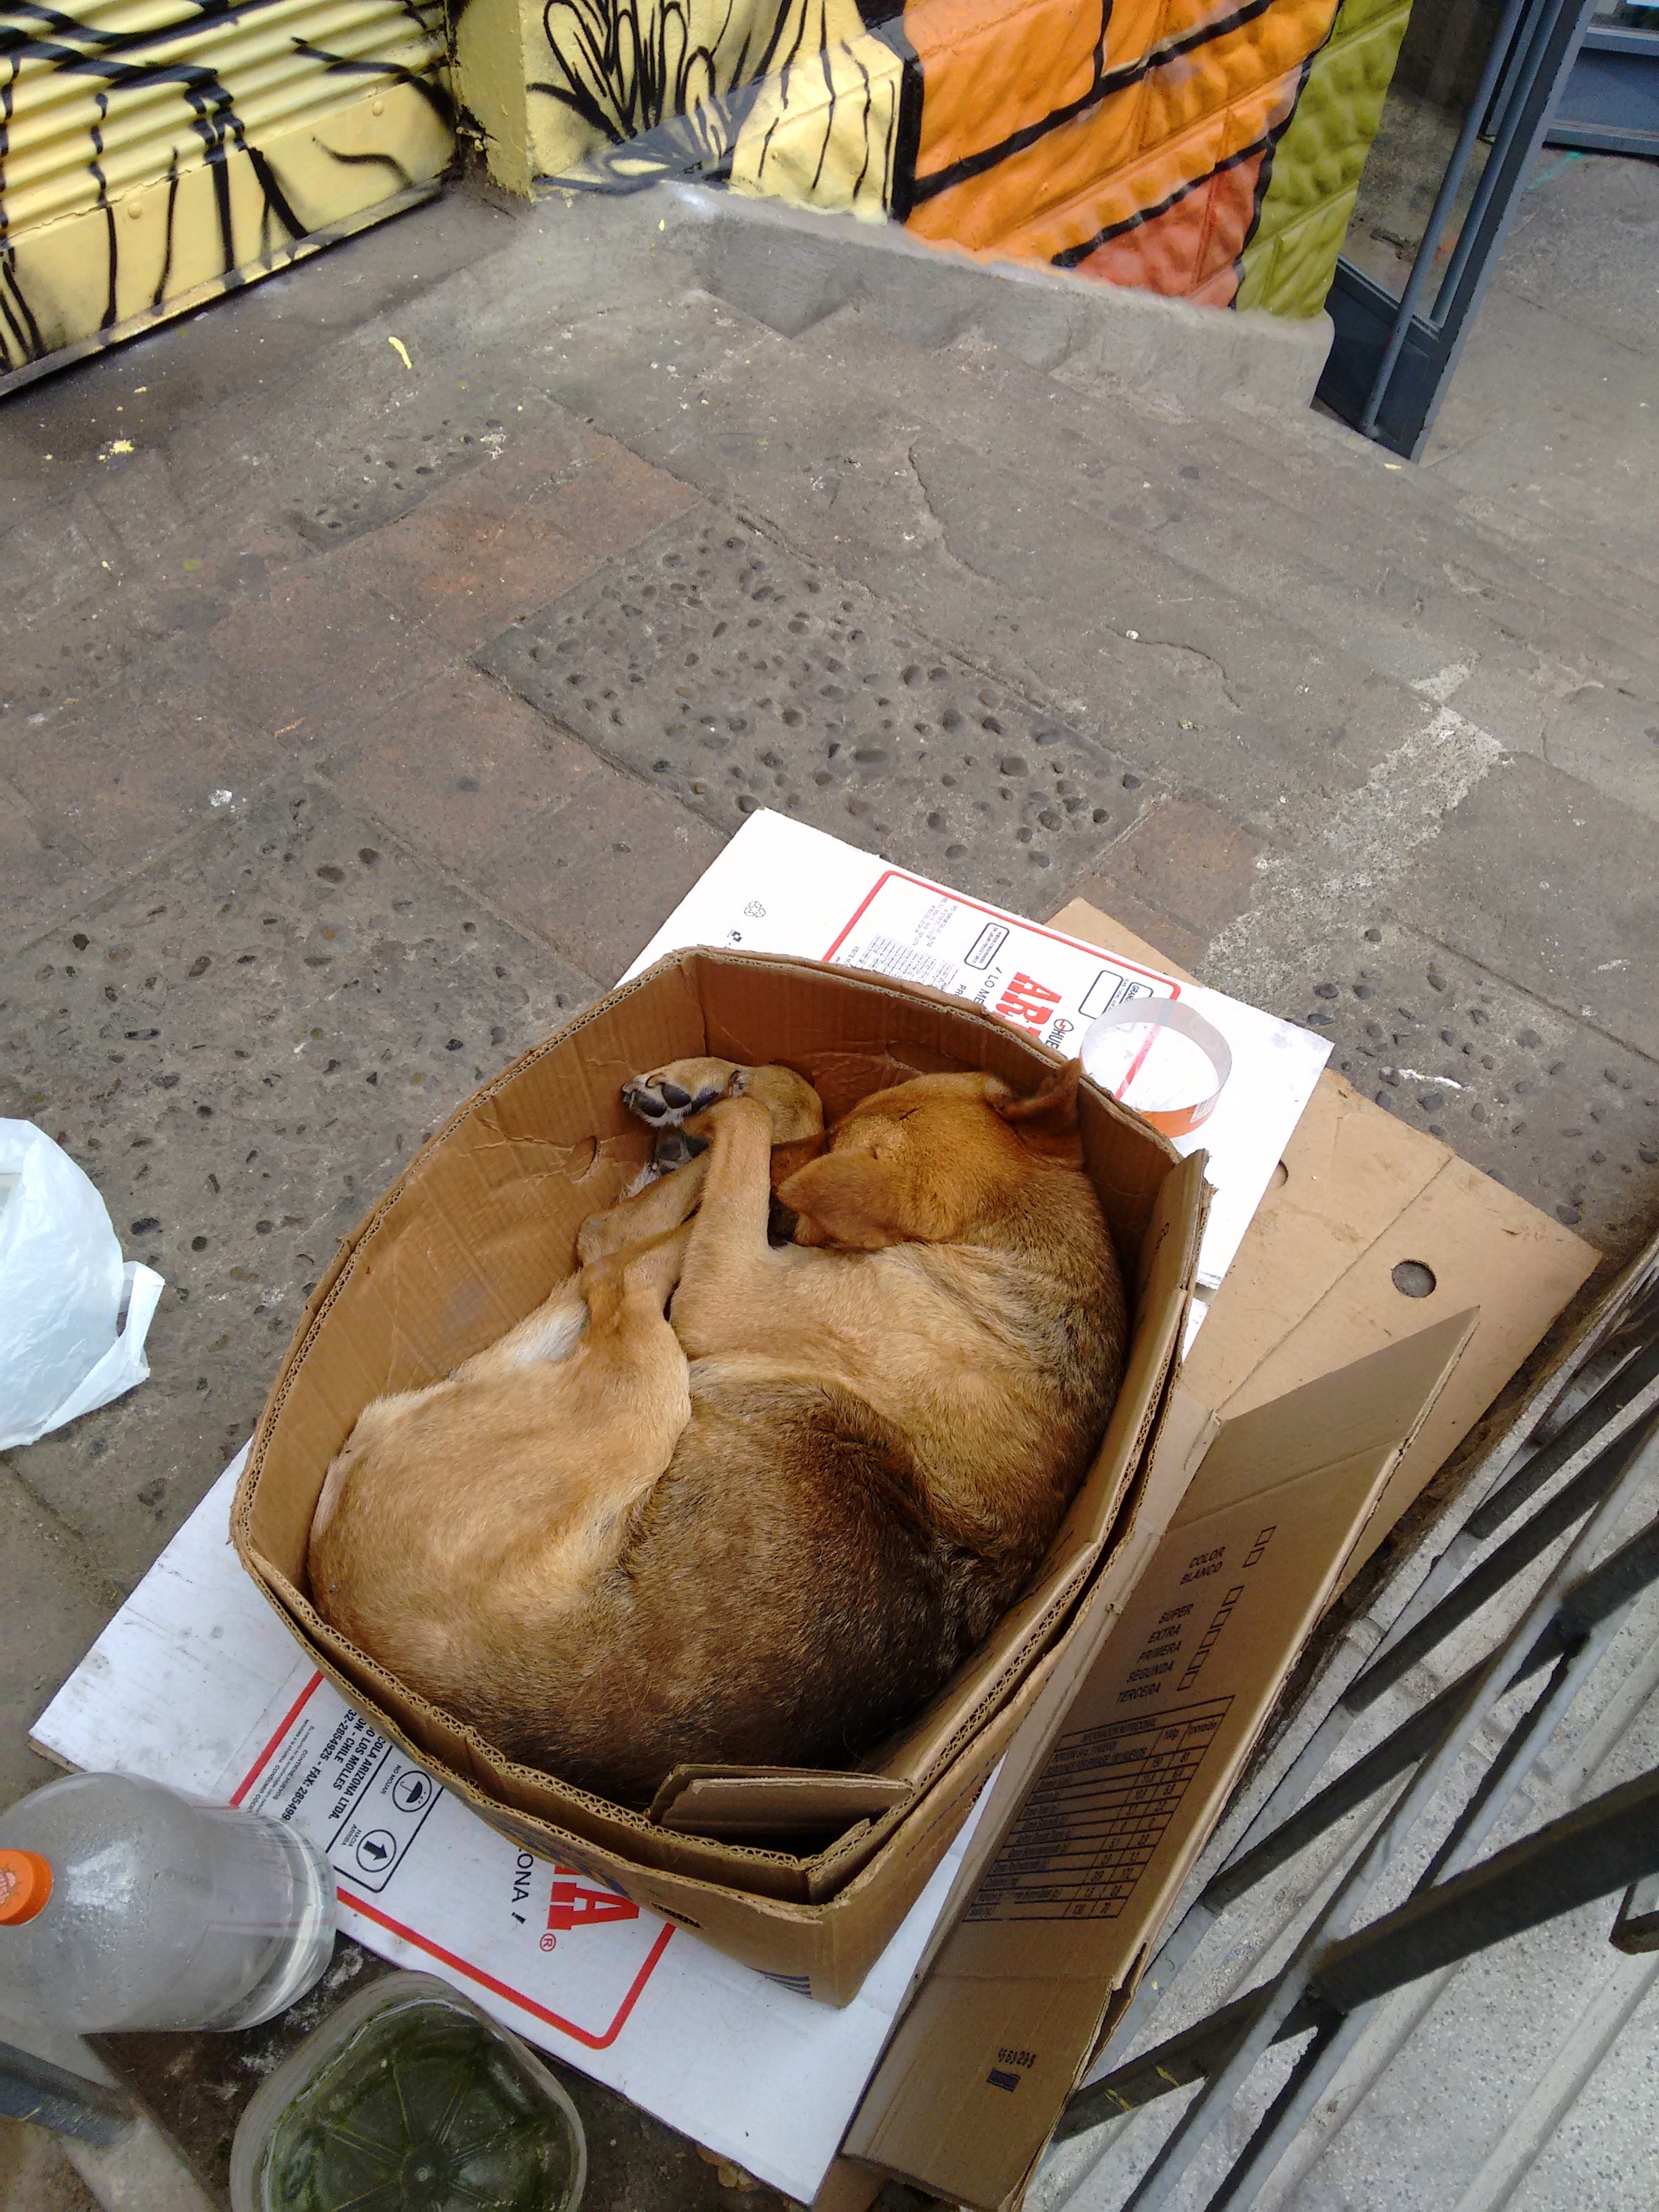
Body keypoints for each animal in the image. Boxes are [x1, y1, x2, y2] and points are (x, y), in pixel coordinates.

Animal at [308, 1057, 1127, 1807]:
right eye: (839, 1133)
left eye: (828, 1163)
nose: (779, 1212)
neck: (1008, 1254)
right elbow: (787, 1108)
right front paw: (721, 1093)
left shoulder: (727, 1290)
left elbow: (754, 1132)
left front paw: (715, 1109)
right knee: (606, 1259)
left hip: (640, 1398)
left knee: (609, 1256)